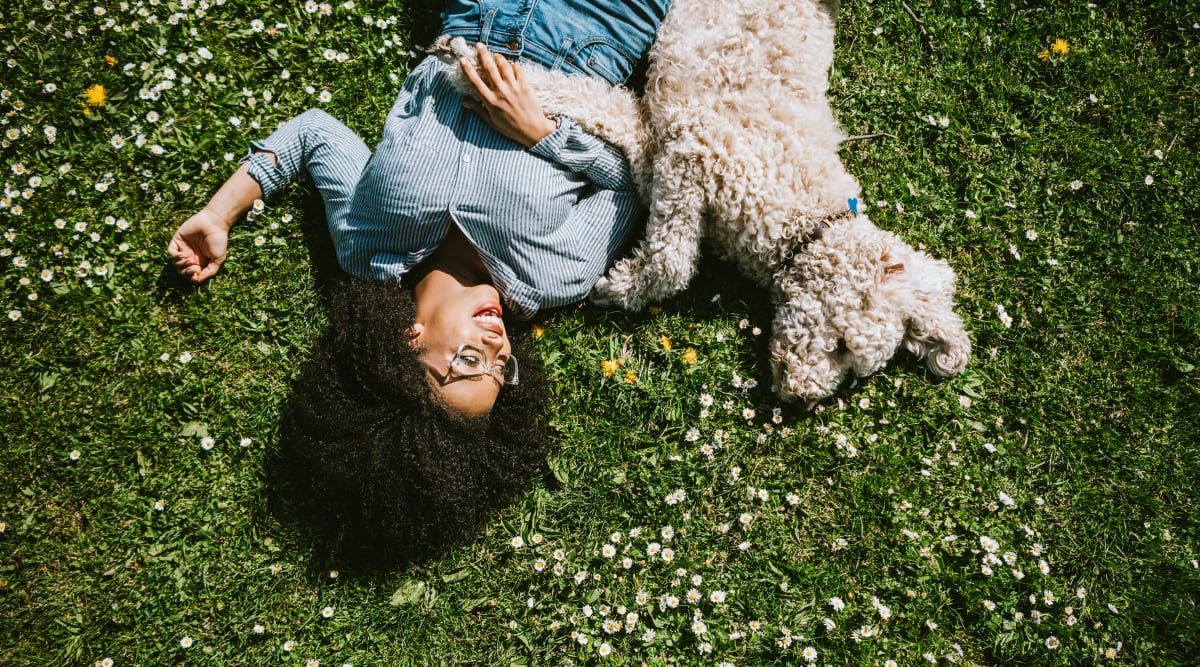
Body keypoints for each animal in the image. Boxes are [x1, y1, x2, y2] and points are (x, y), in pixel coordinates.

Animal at [427, 0, 969, 403]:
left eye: (853, 368)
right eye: (839, 346)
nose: (800, 399)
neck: (805, 217)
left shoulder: (659, 143)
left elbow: (607, 112)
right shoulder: (694, 150)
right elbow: (673, 260)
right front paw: (623, 285)